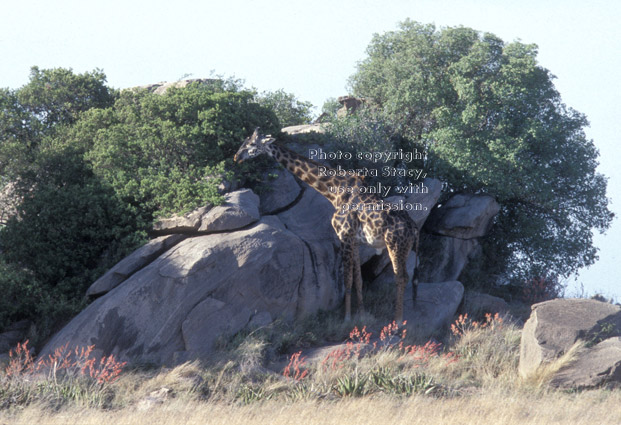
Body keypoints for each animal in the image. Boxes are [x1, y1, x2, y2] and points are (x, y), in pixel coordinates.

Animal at [235, 128, 418, 322]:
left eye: (251, 144)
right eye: (244, 141)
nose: (236, 157)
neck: (334, 192)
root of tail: (414, 227)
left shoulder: (344, 236)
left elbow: (346, 279)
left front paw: (346, 318)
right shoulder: (354, 241)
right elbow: (358, 279)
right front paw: (361, 315)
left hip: (395, 245)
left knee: (401, 277)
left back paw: (398, 321)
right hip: (404, 248)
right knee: (405, 277)